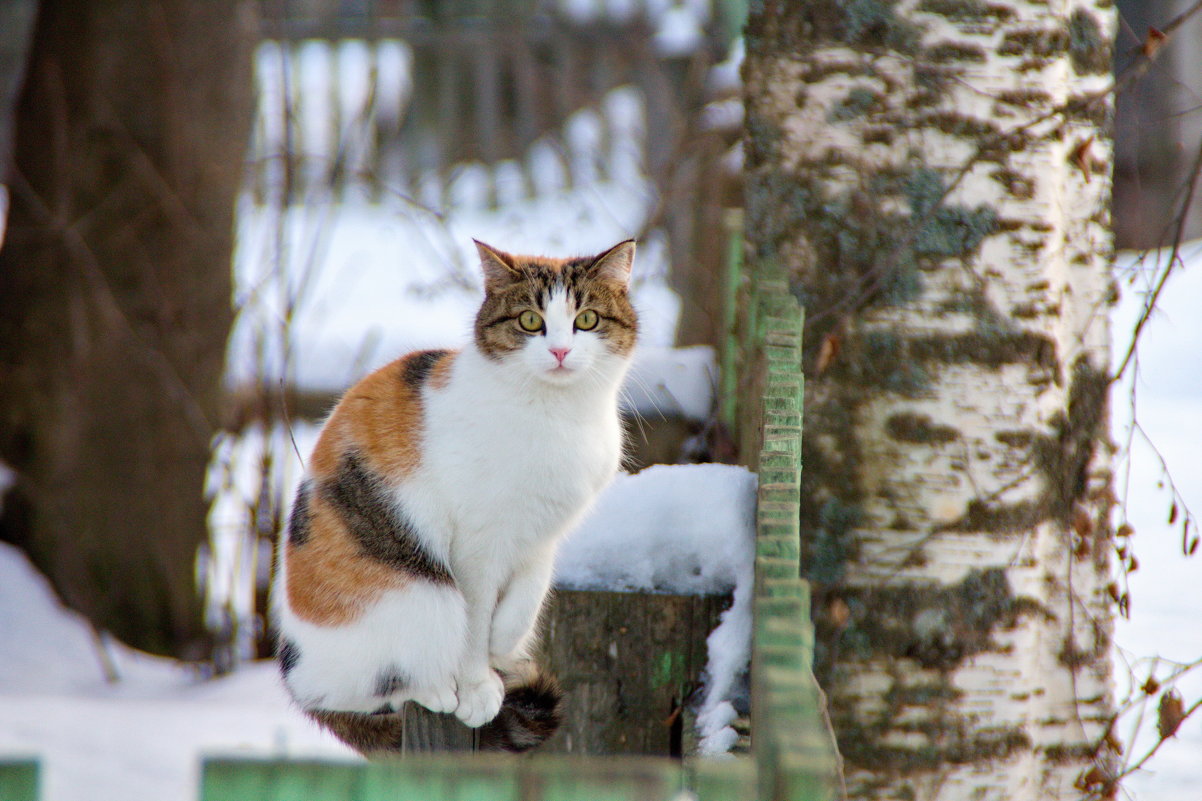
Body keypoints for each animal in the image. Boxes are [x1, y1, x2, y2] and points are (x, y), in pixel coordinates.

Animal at [275, 235, 639, 750]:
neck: (558, 415)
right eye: (530, 321)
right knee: (371, 688)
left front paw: (504, 648)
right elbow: (475, 620)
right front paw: (477, 686)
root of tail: (296, 681)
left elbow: (525, 599)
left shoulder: (542, 536)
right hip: (420, 595)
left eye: (586, 319)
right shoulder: (474, 545)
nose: (560, 352)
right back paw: (435, 689)